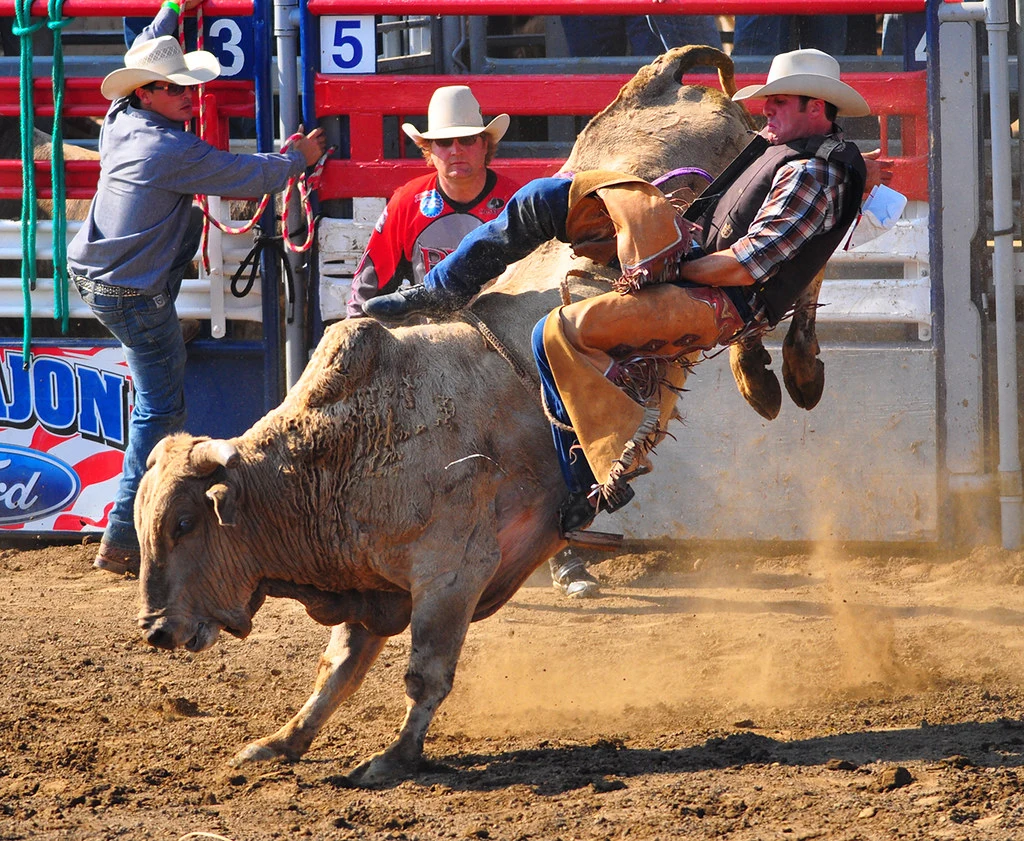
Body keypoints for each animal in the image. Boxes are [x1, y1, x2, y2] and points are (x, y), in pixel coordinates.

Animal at [135, 46, 825, 787]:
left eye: (184, 523)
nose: (155, 629)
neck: (338, 452)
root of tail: (658, 81)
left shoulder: (452, 571)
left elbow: (425, 672)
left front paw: (395, 757)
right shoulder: (369, 588)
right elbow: (337, 670)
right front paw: (281, 741)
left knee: (794, 257)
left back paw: (788, 371)